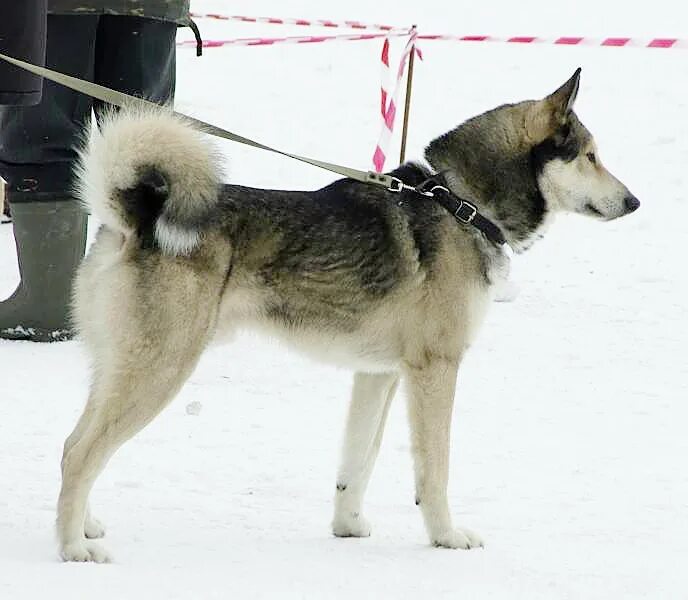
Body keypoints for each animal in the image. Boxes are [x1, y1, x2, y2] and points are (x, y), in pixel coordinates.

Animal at [55, 70, 640, 564]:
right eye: (591, 156)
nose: (634, 202)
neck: (462, 204)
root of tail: (135, 218)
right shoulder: (435, 369)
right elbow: (434, 470)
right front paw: (446, 536)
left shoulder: (378, 374)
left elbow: (358, 461)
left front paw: (348, 527)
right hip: (160, 368)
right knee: (79, 453)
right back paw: (73, 549)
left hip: (119, 367)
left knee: (74, 444)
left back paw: (85, 525)